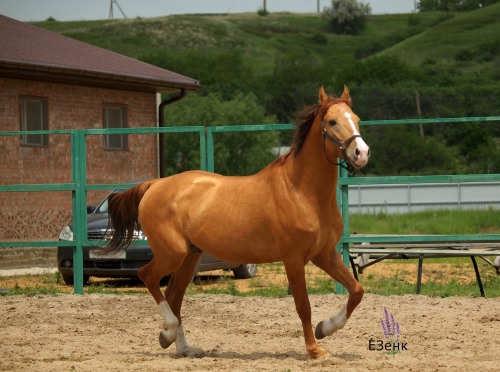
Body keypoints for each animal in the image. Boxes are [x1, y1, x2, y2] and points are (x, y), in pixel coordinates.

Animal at [106, 85, 372, 358]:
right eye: (332, 121)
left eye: (357, 119)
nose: (361, 153)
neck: (303, 192)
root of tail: (154, 185)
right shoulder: (294, 259)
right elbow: (303, 305)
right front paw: (314, 349)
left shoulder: (324, 254)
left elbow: (357, 291)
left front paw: (324, 328)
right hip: (172, 253)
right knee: (147, 276)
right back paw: (167, 332)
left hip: (190, 256)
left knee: (174, 295)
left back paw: (183, 347)